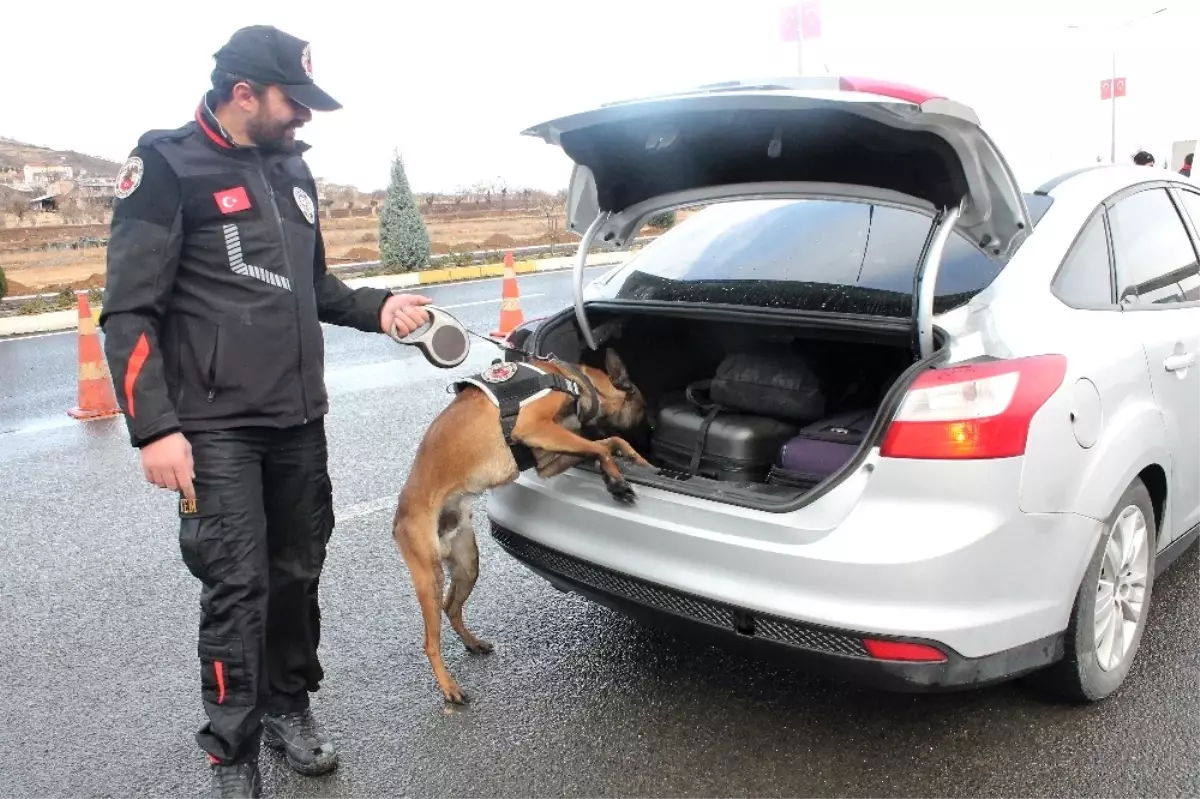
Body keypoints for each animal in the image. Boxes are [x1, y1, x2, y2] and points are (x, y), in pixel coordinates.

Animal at [391, 345, 648, 700]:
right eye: (643, 408)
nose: (652, 434)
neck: (574, 379)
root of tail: (398, 517)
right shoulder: (534, 427)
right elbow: (601, 447)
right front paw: (617, 481)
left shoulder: (548, 459)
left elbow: (609, 443)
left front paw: (637, 461)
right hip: (430, 577)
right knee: (430, 641)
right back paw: (450, 688)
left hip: (467, 564)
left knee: (451, 607)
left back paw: (473, 643)